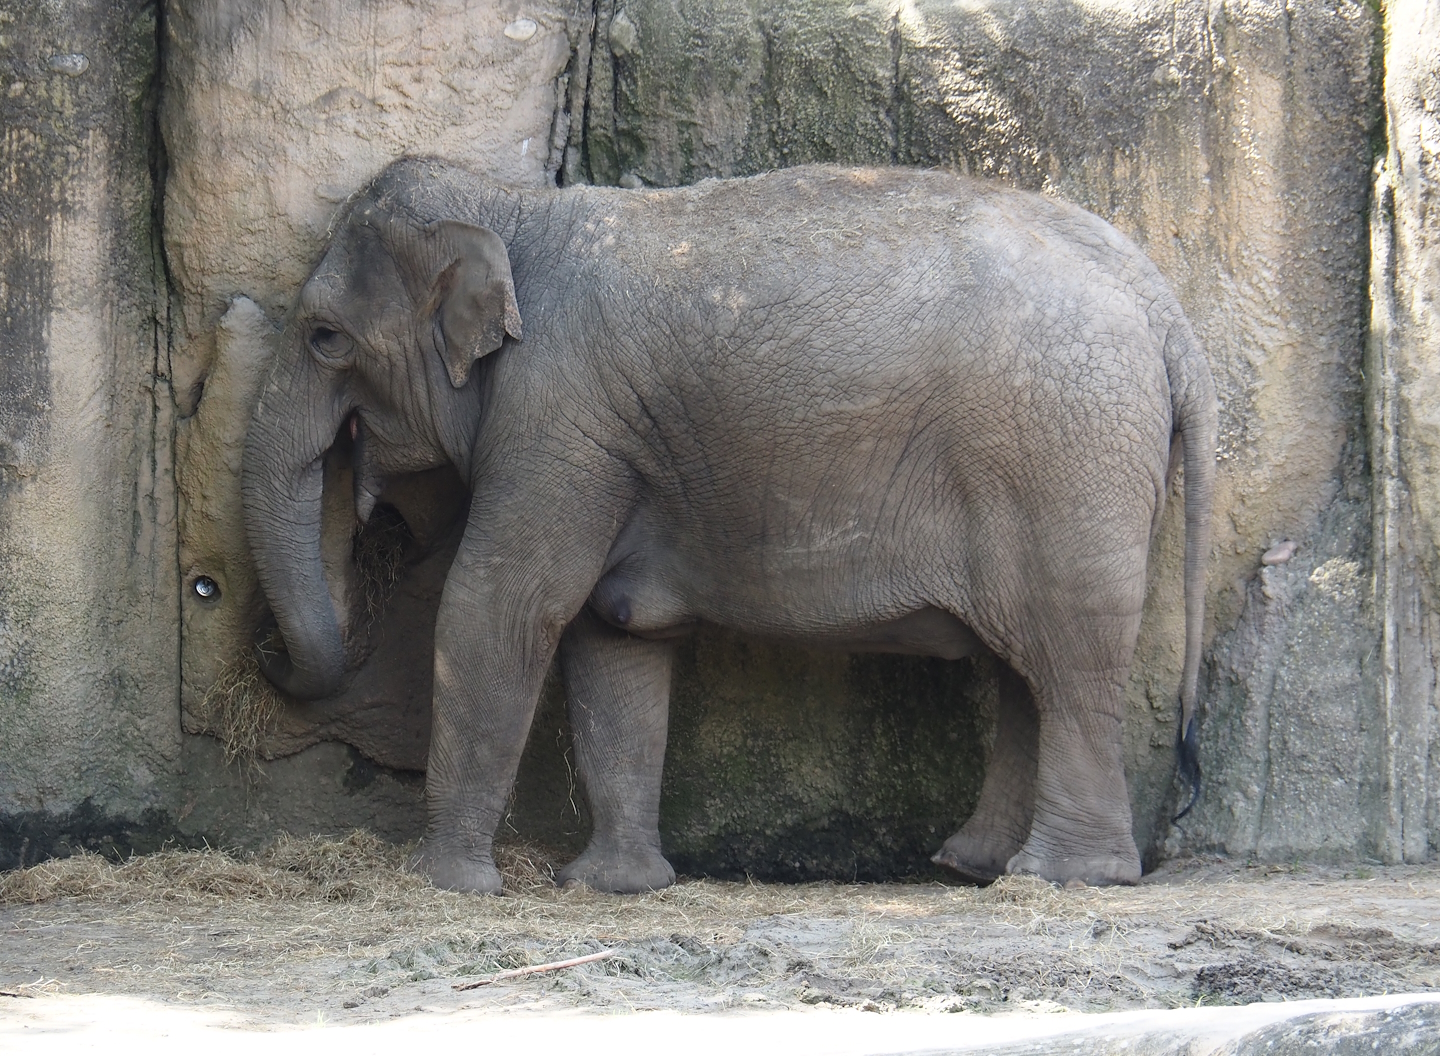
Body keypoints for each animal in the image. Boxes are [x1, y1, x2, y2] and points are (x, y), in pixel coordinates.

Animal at [241, 156, 1216, 893]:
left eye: (325, 337)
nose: (263, 649)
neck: (515, 209)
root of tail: (1167, 308)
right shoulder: (609, 444)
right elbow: (614, 634)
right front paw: (612, 887)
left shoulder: (560, 419)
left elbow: (503, 606)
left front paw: (445, 885)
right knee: (1026, 667)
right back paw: (974, 865)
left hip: (1066, 456)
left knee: (1067, 655)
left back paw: (1062, 876)